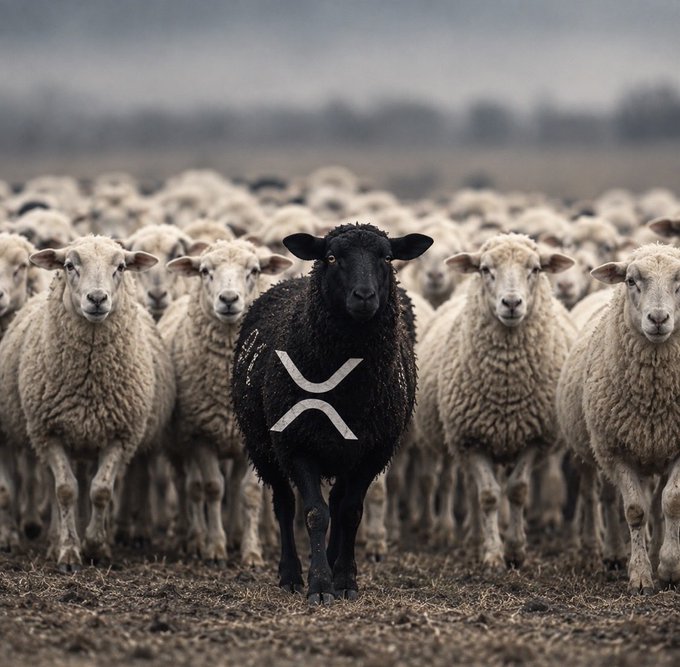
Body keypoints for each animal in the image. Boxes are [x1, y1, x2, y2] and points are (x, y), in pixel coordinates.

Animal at [0, 236, 170, 570]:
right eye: (69, 265)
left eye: (121, 267)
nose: (97, 298)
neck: (90, 385)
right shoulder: (48, 432)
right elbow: (65, 490)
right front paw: (68, 550)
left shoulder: (121, 434)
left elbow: (101, 490)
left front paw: (96, 545)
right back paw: (45, 538)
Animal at [159, 240, 293, 566]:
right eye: (205, 271)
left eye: (254, 270)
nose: (229, 299)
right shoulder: (200, 434)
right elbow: (212, 488)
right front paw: (215, 548)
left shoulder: (252, 437)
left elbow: (249, 492)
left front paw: (251, 551)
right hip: (177, 443)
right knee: (187, 486)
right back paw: (191, 537)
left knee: (232, 485)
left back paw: (236, 534)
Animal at [232, 223, 432, 604]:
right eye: (331, 257)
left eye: (387, 257)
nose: (364, 296)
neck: (346, 389)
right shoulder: (297, 444)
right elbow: (314, 514)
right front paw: (320, 585)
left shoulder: (374, 449)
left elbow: (350, 512)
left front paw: (345, 580)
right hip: (263, 446)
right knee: (284, 504)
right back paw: (291, 574)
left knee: (339, 504)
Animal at [417, 233, 575, 569]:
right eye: (485, 269)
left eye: (536, 269)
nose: (512, 304)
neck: (506, 389)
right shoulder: (471, 438)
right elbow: (487, 495)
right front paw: (491, 553)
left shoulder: (534, 437)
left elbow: (517, 491)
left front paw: (516, 549)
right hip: (450, 439)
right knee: (456, 483)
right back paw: (461, 534)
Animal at [558, 244, 680, 593]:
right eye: (630, 281)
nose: (658, 319)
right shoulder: (616, 451)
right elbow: (635, 510)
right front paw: (639, 575)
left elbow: (670, 503)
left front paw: (669, 568)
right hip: (597, 449)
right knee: (606, 498)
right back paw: (612, 552)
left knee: (657, 504)